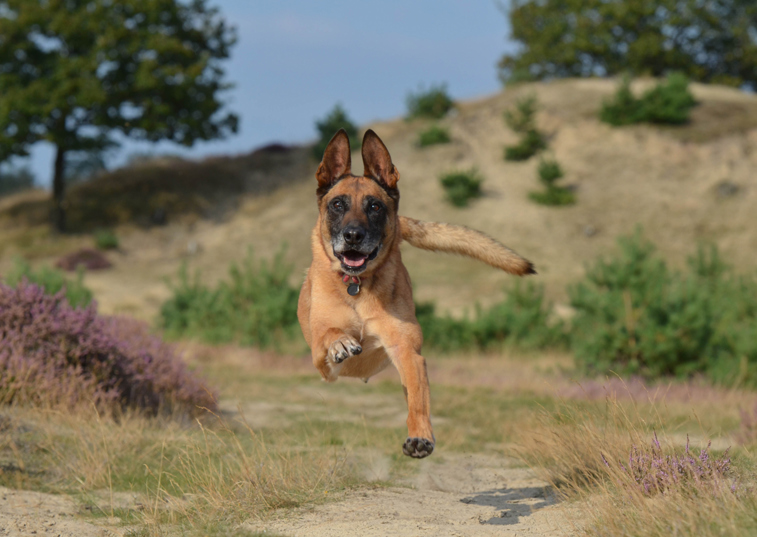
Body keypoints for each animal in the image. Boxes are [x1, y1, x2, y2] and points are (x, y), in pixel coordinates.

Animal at [298, 129, 536, 456]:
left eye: (375, 206)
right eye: (337, 205)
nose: (354, 236)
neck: (357, 286)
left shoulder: (407, 352)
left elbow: (418, 401)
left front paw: (420, 436)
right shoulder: (321, 361)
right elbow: (330, 333)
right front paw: (341, 342)